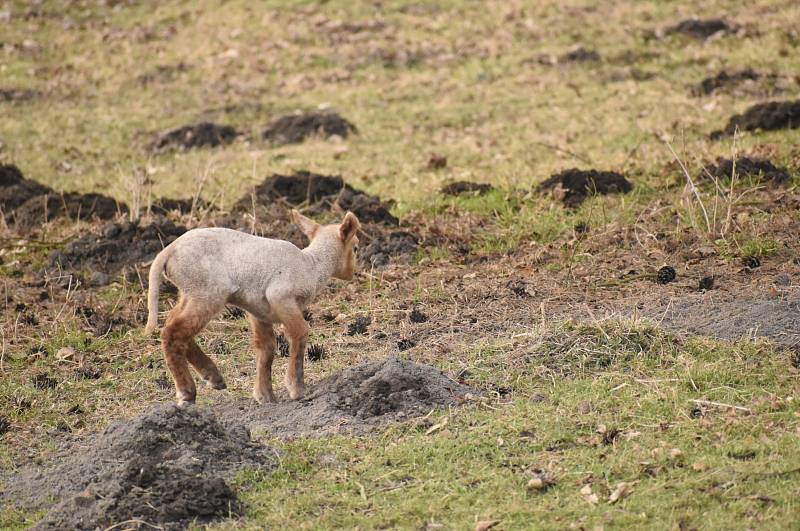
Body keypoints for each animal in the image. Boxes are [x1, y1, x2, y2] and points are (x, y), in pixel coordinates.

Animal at [144, 210, 360, 406]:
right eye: (356, 247)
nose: (352, 273)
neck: (313, 266)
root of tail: (169, 250)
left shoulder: (259, 311)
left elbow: (266, 348)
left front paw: (265, 395)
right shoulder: (281, 296)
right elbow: (300, 333)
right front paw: (296, 388)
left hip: (191, 292)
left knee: (176, 325)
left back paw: (213, 377)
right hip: (208, 291)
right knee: (173, 333)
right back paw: (187, 392)